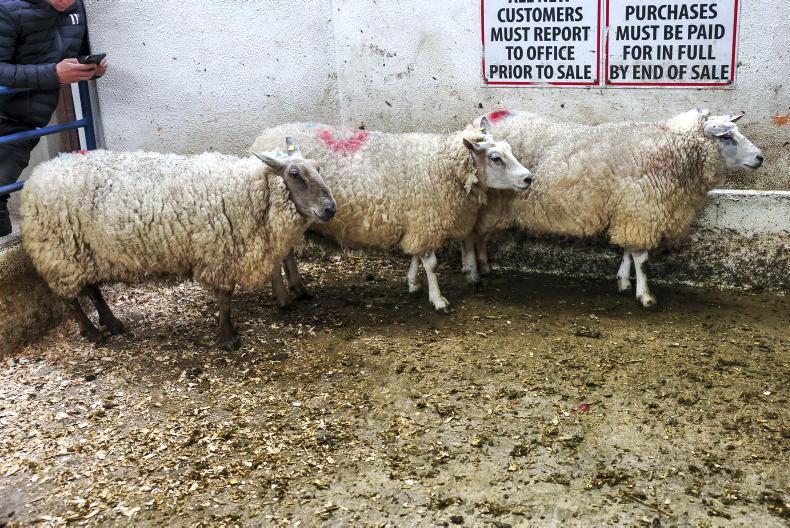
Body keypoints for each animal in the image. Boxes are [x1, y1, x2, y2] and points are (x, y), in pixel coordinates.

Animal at [20, 139, 336, 350]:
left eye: (319, 168)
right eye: (295, 174)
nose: (330, 209)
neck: (246, 190)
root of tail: (38, 174)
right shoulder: (218, 253)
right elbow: (225, 299)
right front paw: (227, 338)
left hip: (86, 252)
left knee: (92, 290)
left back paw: (113, 324)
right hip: (59, 252)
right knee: (71, 299)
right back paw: (94, 333)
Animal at [250, 118, 533, 313]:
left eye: (509, 150)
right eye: (495, 158)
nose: (528, 178)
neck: (440, 166)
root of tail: (262, 137)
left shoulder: (418, 221)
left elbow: (416, 256)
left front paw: (412, 283)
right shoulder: (425, 219)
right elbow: (431, 264)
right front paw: (438, 300)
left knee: (287, 252)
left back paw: (299, 288)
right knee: (280, 252)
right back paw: (287, 296)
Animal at [462, 108, 764, 307]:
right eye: (726, 137)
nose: (760, 157)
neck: (671, 149)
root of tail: (475, 124)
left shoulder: (630, 209)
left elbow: (628, 251)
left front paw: (623, 281)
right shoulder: (641, 210)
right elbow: (641, 258)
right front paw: (645, 296)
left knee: (480, 236)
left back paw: (484, 266)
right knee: (470, 236)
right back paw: (472, 273)